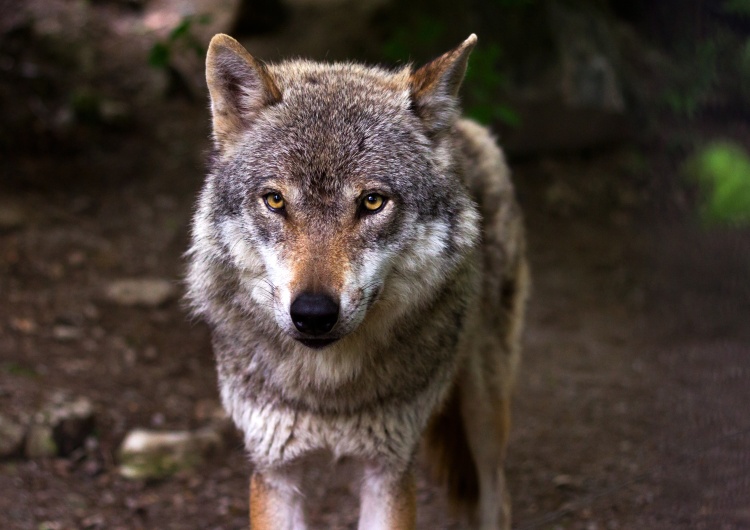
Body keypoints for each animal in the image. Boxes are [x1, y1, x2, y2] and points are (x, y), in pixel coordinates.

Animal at [186, 33, 532, 528]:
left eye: (372, 202)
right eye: (275, 200)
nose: (313, 314)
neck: (328, 391)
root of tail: (462, 126)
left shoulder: (388, 471)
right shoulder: (275, 472)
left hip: (484, 412)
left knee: (496, 497)